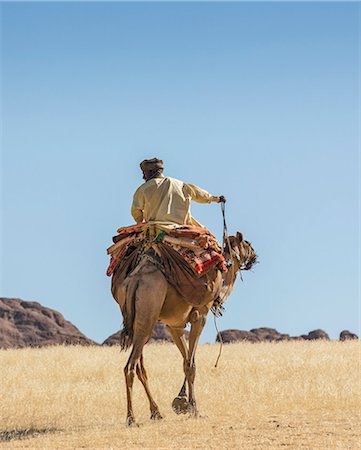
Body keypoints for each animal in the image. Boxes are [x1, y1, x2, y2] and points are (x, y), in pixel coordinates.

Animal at [111, 230, 255, 428]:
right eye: (247, 243)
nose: (255, 255)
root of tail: (135, 281)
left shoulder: (174, 326)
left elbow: (185, 360)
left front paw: (182, 401)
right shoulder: (200, 316)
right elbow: (191, 363)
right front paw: (194, 409)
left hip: (136, 321)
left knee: (140, 367)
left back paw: (156, 412)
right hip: (148, 315)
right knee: (130, 367)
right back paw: (132, 419)